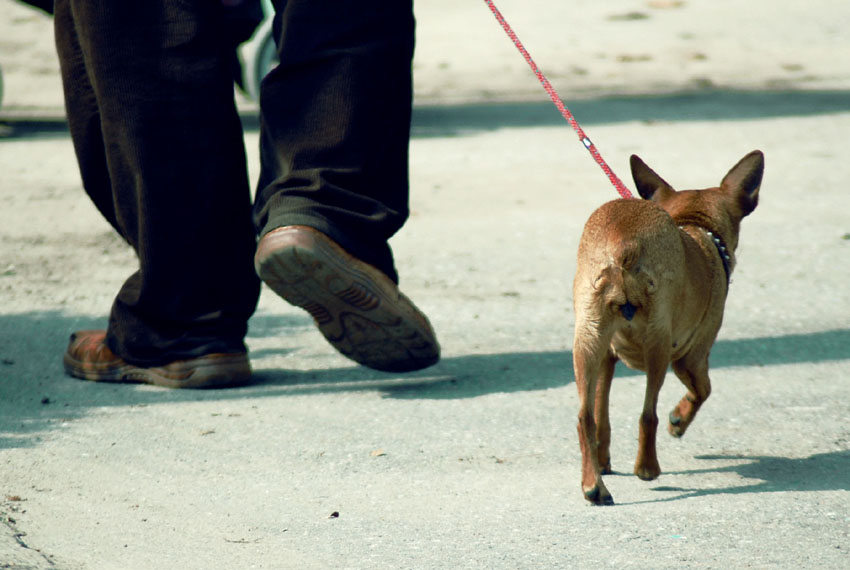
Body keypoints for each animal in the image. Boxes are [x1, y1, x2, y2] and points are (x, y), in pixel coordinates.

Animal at [568, 150, 760, 502]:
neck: (694, 226)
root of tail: (624, 243)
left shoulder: (607, 357)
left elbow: (601, 416)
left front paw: (603, 462)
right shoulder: (692, 358)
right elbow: (703, 390)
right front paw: (679, 419)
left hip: (587, 342)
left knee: (585, 417)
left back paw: (594, 486)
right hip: (658, 345)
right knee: (648, 414)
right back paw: (647, 468)